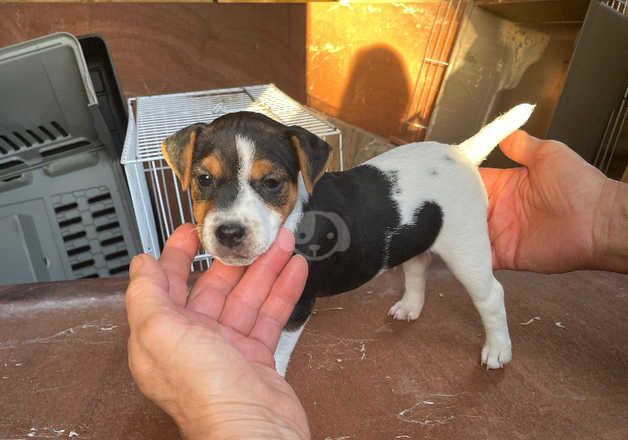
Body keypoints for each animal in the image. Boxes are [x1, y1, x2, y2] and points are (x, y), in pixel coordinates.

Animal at [162, 102, 536, 374]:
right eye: (204, 179)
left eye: (271, 183)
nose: (229, 232)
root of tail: (461, 153)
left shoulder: (297, 303)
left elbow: (276, 351)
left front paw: (271, 374)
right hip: (417, 235)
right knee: (417, 268)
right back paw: (410, 307)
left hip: (466, 247)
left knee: (491, 295)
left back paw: (498, 349)